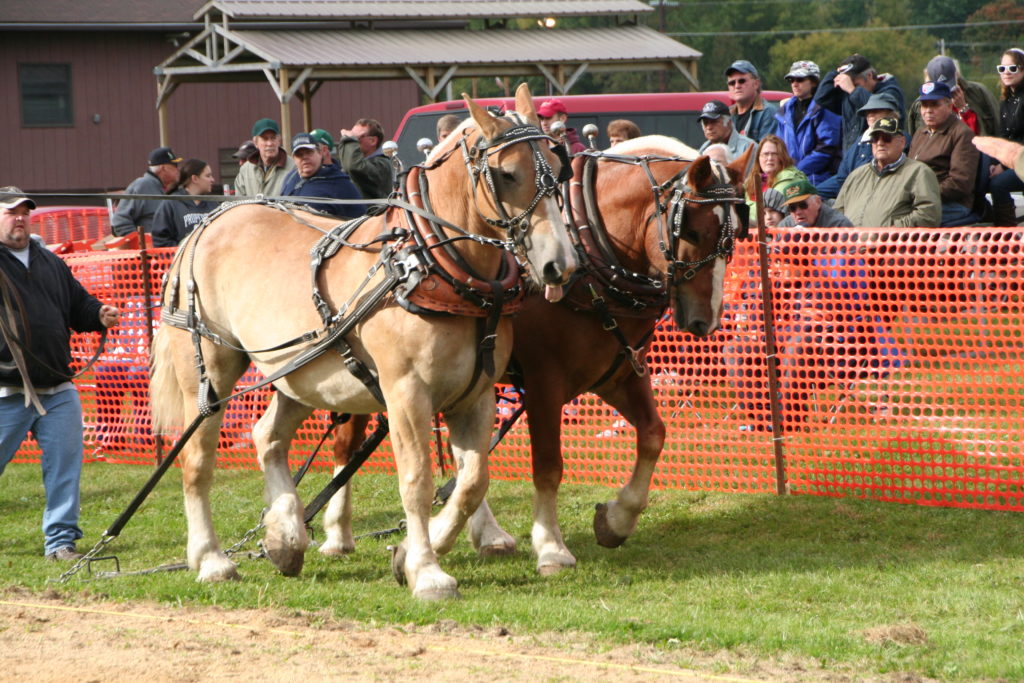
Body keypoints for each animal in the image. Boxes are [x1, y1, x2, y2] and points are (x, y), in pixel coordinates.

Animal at [149, 84, 577, 600]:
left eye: (557, 167)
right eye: (507, 173)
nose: (559, 264)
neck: (431, 266)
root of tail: (209, 222)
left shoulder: (474, 396)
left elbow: (472, 481)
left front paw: (415, 551)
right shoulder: (405, 393)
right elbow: (417, 480)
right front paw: (427, 571)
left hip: (299, 374)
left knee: (268, 435)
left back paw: (285, 535)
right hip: (209, 372)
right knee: (197, 460)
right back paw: (212, 559)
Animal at [323, 136, 749, 576]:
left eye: (734, 238)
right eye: (693, 231)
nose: (706, 320)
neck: (590, 258)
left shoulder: (618, 376)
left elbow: (653, 435)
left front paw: (616, 519)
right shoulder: (544, 383)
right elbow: (547, 464)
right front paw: (550, 546)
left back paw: (486, 534)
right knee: (346, 444)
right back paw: (337, 534)